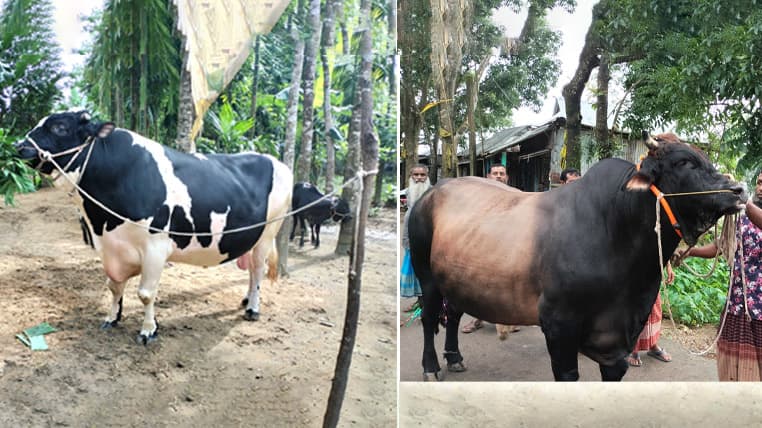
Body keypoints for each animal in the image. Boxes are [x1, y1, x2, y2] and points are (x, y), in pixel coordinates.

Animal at [17, 111, 294, 344]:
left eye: (60, 127)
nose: (20, 146)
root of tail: (276, 161)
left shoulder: (155, 247)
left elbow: (145, 293)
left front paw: (148, 330)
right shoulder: (110, 247)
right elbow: (114, 286)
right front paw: (112, 318)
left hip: (268, 233)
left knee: (257, 270)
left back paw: (253, 308)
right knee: (251, 272)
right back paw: (246, 299)